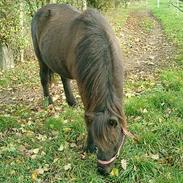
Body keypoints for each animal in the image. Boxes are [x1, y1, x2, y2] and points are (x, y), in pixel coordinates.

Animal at [31, 3, 127, 174]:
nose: (103, 171)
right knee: (43, 78)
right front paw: (88, 147)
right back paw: (48, 102)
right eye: (98, 142)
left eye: (115, 142)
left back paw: (71, 102)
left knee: (64, 79)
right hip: (40, 58)